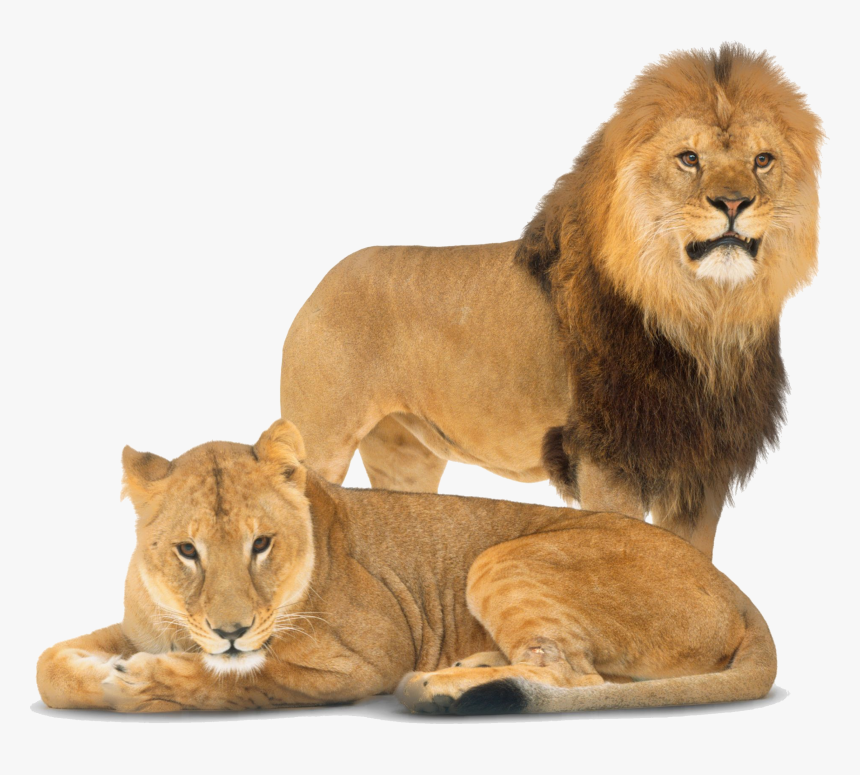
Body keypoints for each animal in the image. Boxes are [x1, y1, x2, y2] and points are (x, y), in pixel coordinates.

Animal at [37, 420, 776, 714]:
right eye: (186, 550)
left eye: (261, 544)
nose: (230, 630)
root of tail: (740, 592)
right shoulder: (141, 623)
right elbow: (47, 663)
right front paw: (97, 676)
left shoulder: (366, 658)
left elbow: (252, 678)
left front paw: (146, 682)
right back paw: (471, 666)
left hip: (501, 556)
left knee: (574, 672)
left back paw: (440, 686)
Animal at [280, 44, 822, 558]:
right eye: (689, 158)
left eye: (763, 160)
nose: (733, 203)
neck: (704, 314)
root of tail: (325, 280)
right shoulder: (605, 461)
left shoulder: (701, 472)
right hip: (318, 443)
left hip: (406, 455)